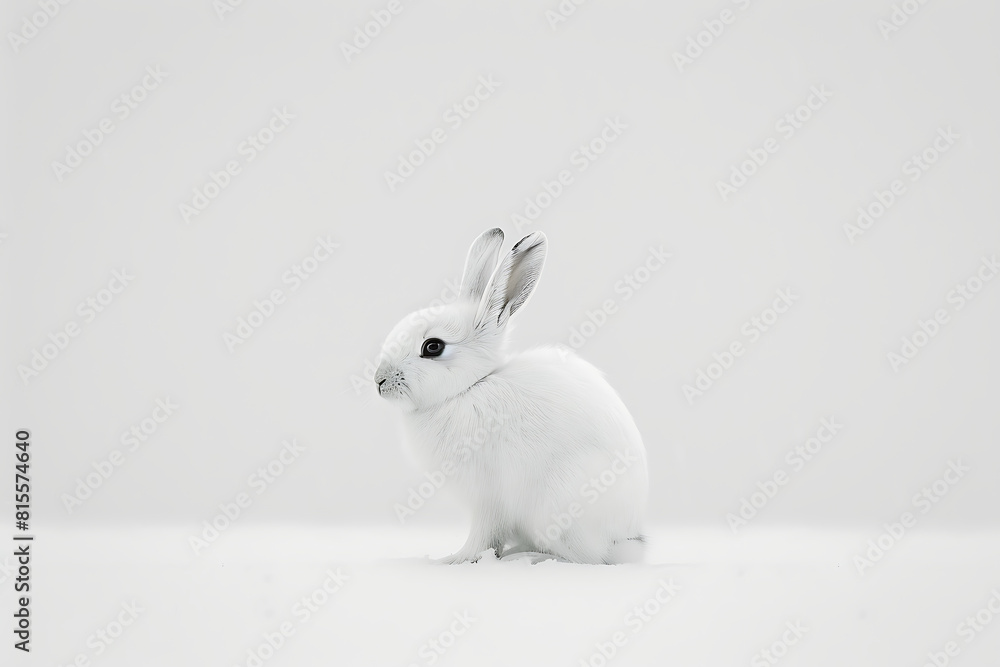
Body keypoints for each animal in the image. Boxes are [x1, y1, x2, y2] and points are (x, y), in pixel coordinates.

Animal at [374, 228, 648, 564]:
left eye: (433, 346)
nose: (379, 381)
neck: (469, 387)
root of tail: (627, 538)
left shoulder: (486, 497)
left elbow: (482, 536)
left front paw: (454, 560)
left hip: (559, 509)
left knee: (590, 557)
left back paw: (537, 559)